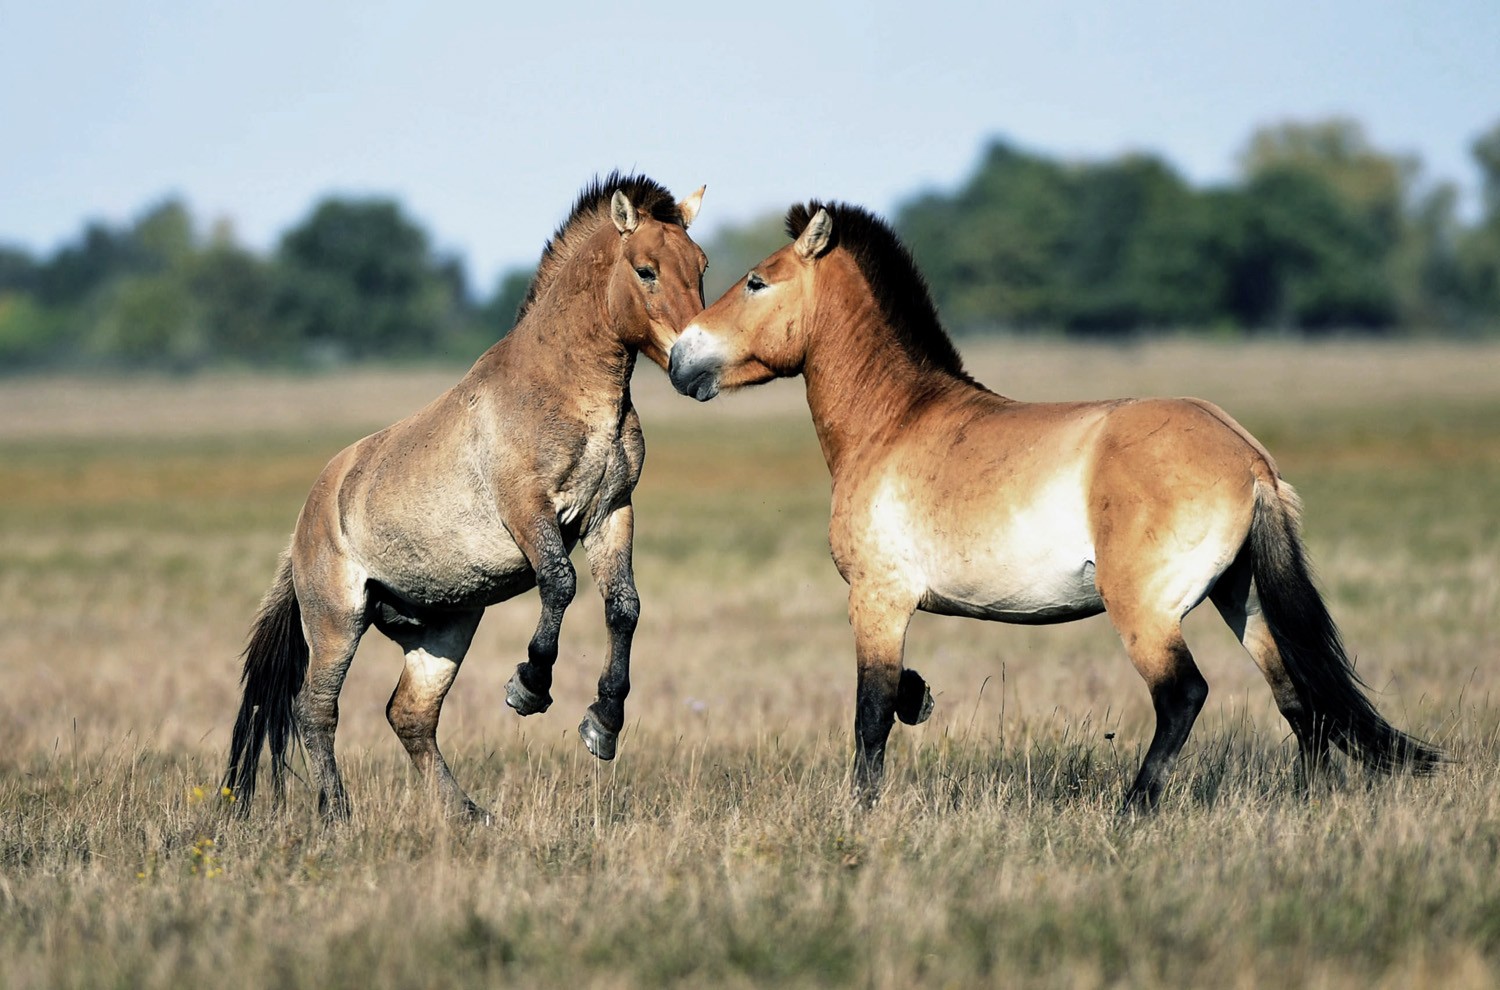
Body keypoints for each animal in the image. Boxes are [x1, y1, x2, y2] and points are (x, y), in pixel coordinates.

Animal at [222, 171, 708, 822]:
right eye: (646, 269)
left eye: (702, 266)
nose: (695, 368)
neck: (569, 392)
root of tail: (307, 519)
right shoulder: (529, 511)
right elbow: (561, 584)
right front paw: (529, 685)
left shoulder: (610, 513)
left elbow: (623, 607)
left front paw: (603, 724)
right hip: (336, 622)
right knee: (315, 711)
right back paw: (339, 814)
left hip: (444, 629)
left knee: (409, 715)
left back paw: (468, 813)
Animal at [669, 202, 1440, 810]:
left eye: (757, 281)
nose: (680, 358)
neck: (894, 422)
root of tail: (1249, 460)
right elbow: (894, 703)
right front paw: (919, 703)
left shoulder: (878, 599)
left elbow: (872, 715)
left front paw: (860, 811)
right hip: (1240, 596)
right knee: (1299, 698)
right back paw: (1311, 802)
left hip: (1146, 611)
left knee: (1185, 696)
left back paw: (1133, 809)